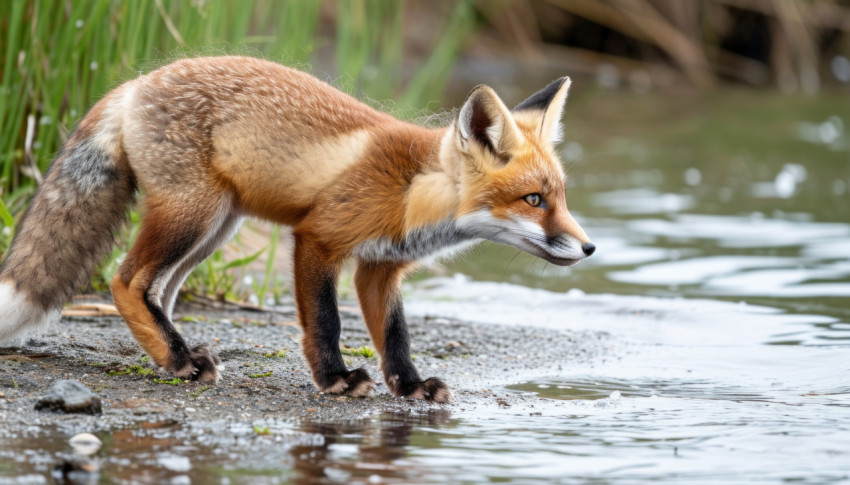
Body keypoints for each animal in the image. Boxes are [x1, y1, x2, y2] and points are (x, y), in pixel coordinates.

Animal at [0, 56, 588, 402]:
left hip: (216, 227)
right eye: (533, 200)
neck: (410, 192)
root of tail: (134, 84)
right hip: (194, 215)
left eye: (559, 197)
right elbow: (326, 322)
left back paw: (173, 356)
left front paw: (411, 386)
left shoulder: (380, 268)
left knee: (157, 290)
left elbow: (395, 336)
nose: (588, 247)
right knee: (126, 281)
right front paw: (335, 379)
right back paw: (178, 359)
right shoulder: (318, 239)